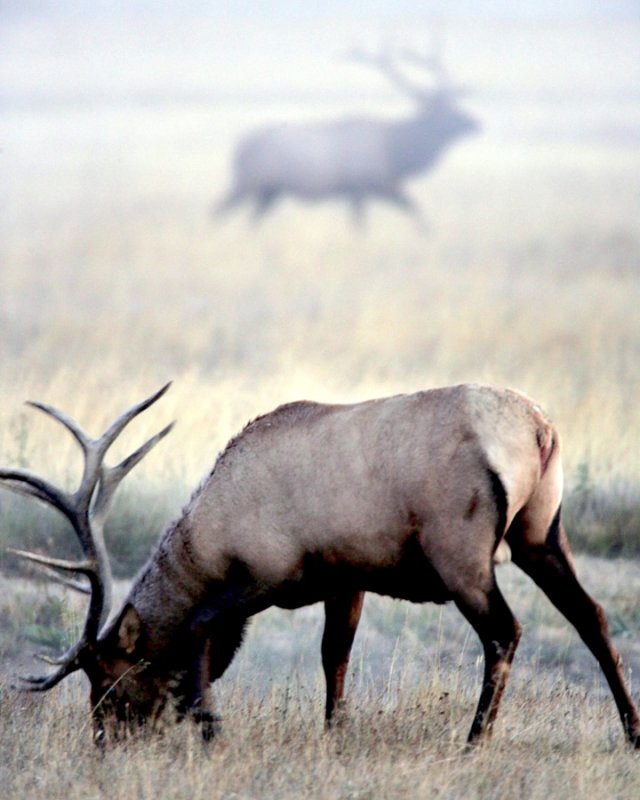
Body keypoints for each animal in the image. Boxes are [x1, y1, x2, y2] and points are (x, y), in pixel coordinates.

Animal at [1, 384, 640, 748]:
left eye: (109, 684)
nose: (102, 744)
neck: (212, 538)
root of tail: (539, 429)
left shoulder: (269, 572)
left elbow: (203, 629)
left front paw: (211, 728)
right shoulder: (346, 577)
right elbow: (335, 657)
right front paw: (334, 736)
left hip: (461, 551)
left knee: (505, 631)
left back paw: (473, 743)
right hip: (542, 533)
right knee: (593, 616)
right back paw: (631, 733)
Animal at [218, 45, 478, 223]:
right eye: (445, 109)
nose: (476, 123)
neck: (395, 152)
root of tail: (238, 149)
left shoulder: (386, 188)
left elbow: (418, 215)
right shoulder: (360, 189)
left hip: (270, 192)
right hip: (249, 182)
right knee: (218, 210)